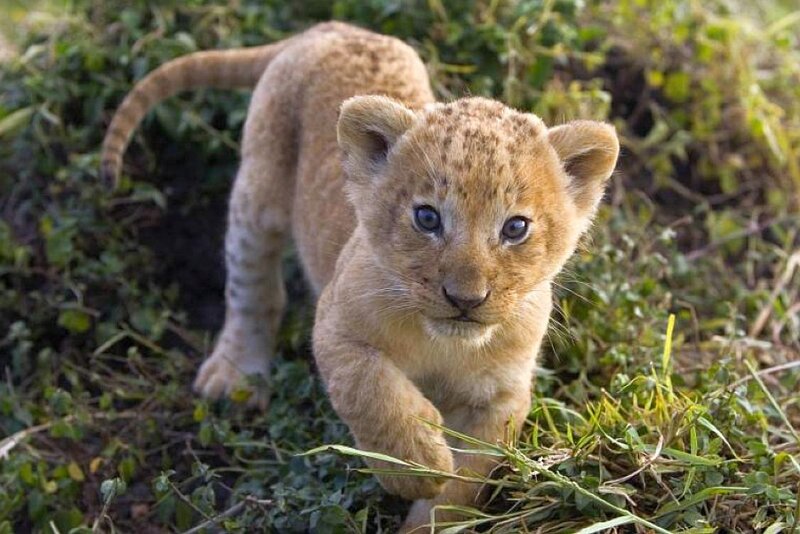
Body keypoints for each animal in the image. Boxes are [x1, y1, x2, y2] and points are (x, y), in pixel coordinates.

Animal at [101, 21, 619, 532]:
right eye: (427, 218)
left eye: (515, 228)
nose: (465, 299)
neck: (446, 345)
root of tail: (332, 28)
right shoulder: (336, 326)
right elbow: (372, 390)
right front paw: (417, 464)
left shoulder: (501, 398)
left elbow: (463, 488)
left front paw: (429, 512)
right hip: (258, 193)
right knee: (251, 287)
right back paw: (234, 375)